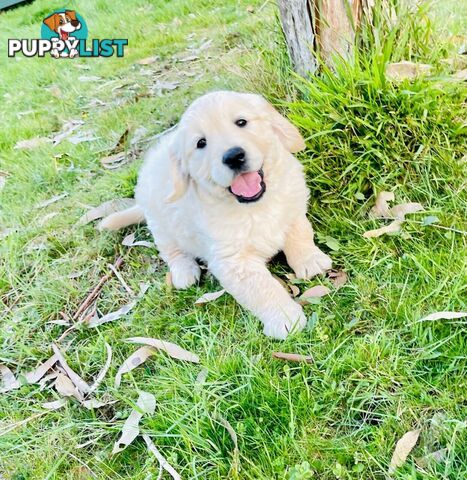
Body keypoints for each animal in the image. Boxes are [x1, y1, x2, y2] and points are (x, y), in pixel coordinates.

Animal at [100, 90, 330, 338]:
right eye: (201, 143)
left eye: (241, 122)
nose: (233, 156)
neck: (255, 206)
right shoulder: (233, 263)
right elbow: (262, 289)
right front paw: (285, 318)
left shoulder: (292, 207)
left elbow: (300, 234)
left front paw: (310, 261)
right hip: (160, 223)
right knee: (170, 250)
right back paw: (184, 272)